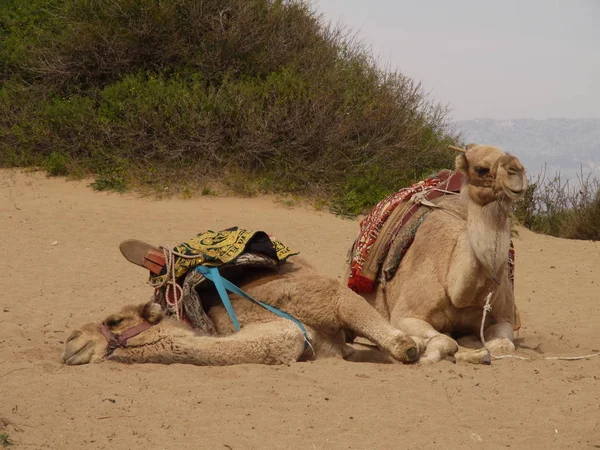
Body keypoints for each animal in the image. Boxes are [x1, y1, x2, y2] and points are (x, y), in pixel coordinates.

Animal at [61, 258, 422, 368]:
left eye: (114, 321)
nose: (69, 342)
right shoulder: (331, 350)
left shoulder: (330, 296)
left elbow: (388, 337)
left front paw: (412, 347)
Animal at [344, 145, 528, 366]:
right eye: (481, 168)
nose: (516, 170)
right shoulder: (407, 315)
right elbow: (445, 341)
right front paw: (424, 355)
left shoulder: (503, 319)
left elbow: (503, 345)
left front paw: (477, 351)